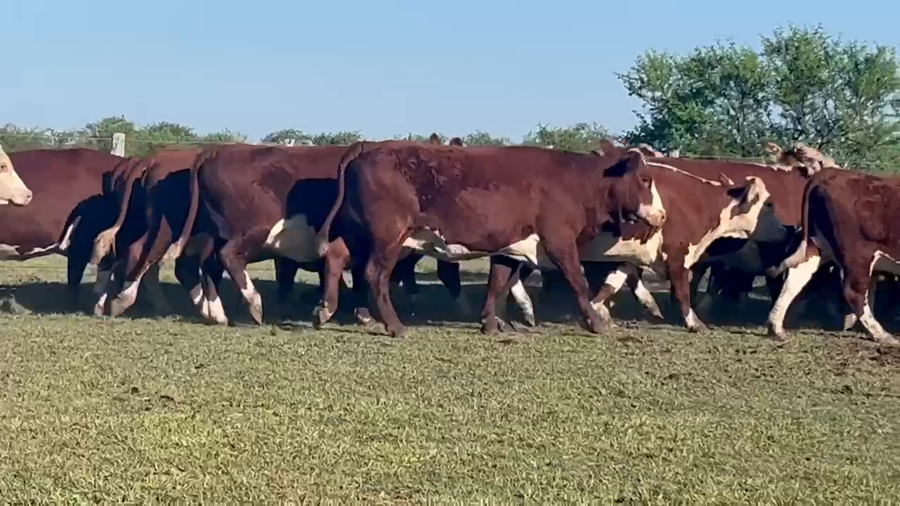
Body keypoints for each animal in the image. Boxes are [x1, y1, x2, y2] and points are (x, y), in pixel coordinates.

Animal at [313, 142, 667, 338]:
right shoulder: (560, 242)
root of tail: (366, 148)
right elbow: (578, 281)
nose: (662, 215)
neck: (576, 181)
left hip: (360, 231)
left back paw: (326, 309)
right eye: (645, 179)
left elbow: (498, 281)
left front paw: (490, 322)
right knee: (375, 274)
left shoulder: (510, 247)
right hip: (389, 235)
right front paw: (594, 321)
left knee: (335, 255)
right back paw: (394, 325)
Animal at [766, 164, 900, 345]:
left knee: (796, 277)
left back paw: (776, 327)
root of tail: (831, 172)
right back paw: (882, 335)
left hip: (816, 246)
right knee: (854, 292)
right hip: (858, 253)